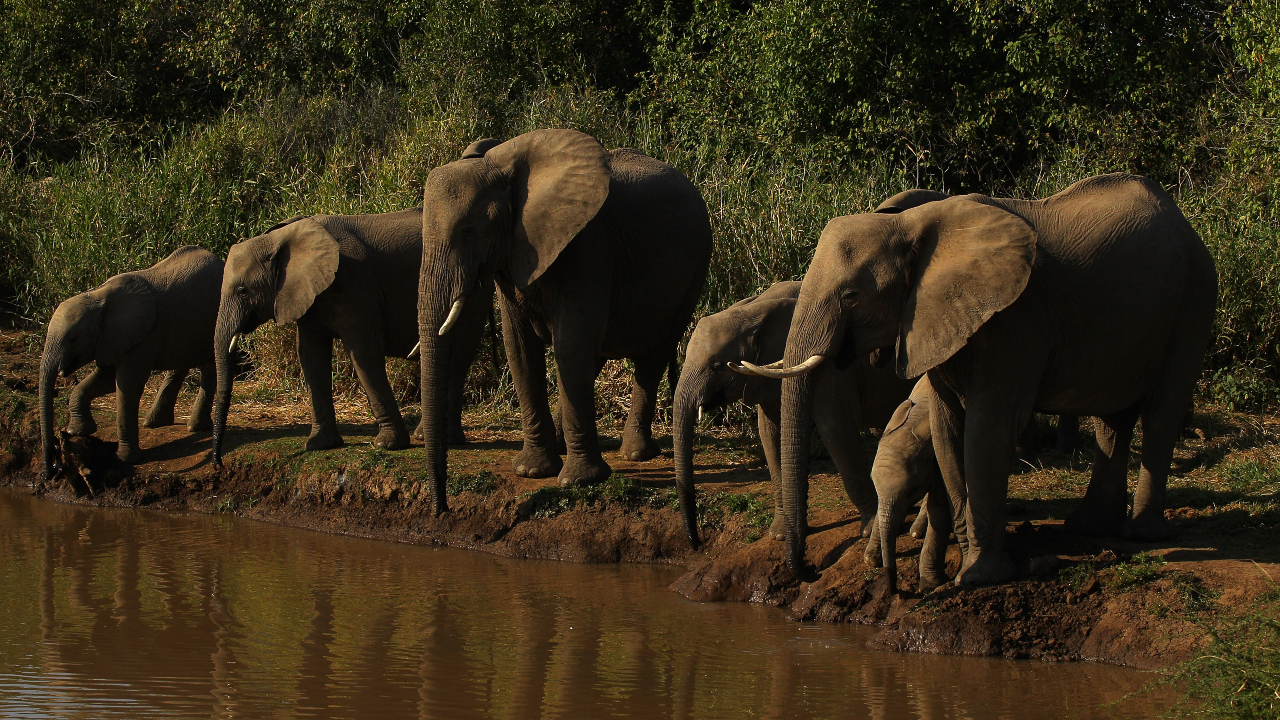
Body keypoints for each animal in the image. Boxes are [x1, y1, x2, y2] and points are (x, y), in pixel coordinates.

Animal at [39, 246, 222, 479]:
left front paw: (128, 459)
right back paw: (155, 423)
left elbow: (127, 385)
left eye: (73, 339)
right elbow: (106, 379)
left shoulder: (142, 336)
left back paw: (195, 427)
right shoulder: (112, 339)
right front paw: (78, 431)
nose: (50, 472)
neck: (97, 296)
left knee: (208, 364)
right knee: (180, 362)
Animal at [210, 208, 492, 466]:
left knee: (458, 356)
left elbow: (364, 354)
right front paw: (319, 445)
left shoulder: (355, 284)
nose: (218, 463)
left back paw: (435, 438)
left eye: (242, 291)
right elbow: (311, 358)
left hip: (469, 292)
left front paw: (387, 445)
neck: (281, 237)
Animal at [416, 129, 712, 513]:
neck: (501, 166)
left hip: (695, 268)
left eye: (468, 231)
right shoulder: (513, 257)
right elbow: (520, 350)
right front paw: (532, 471)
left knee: (653, 353)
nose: (442, 509)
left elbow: (571, 344)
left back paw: (635, 454)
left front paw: (579, 480)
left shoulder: (588, 247)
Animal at [673, 278, 917, 548]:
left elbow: (835, 426)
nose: (697, 544)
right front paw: (780, 535)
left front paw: (869, 529)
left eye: (717, 366)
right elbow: (770, 435)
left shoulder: (831, 367)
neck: (752, 310)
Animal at [761, 173, 1216, 586]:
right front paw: (969, 564)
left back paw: (1142, 534)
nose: (806, 572)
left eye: (852, 295)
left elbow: (987, 428)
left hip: (1194, 297)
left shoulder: (1016, 318)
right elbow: (948, 429)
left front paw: (980, 577)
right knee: (1113, 419)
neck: (911, 224)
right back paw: (1089, 527)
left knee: (1161, 413)